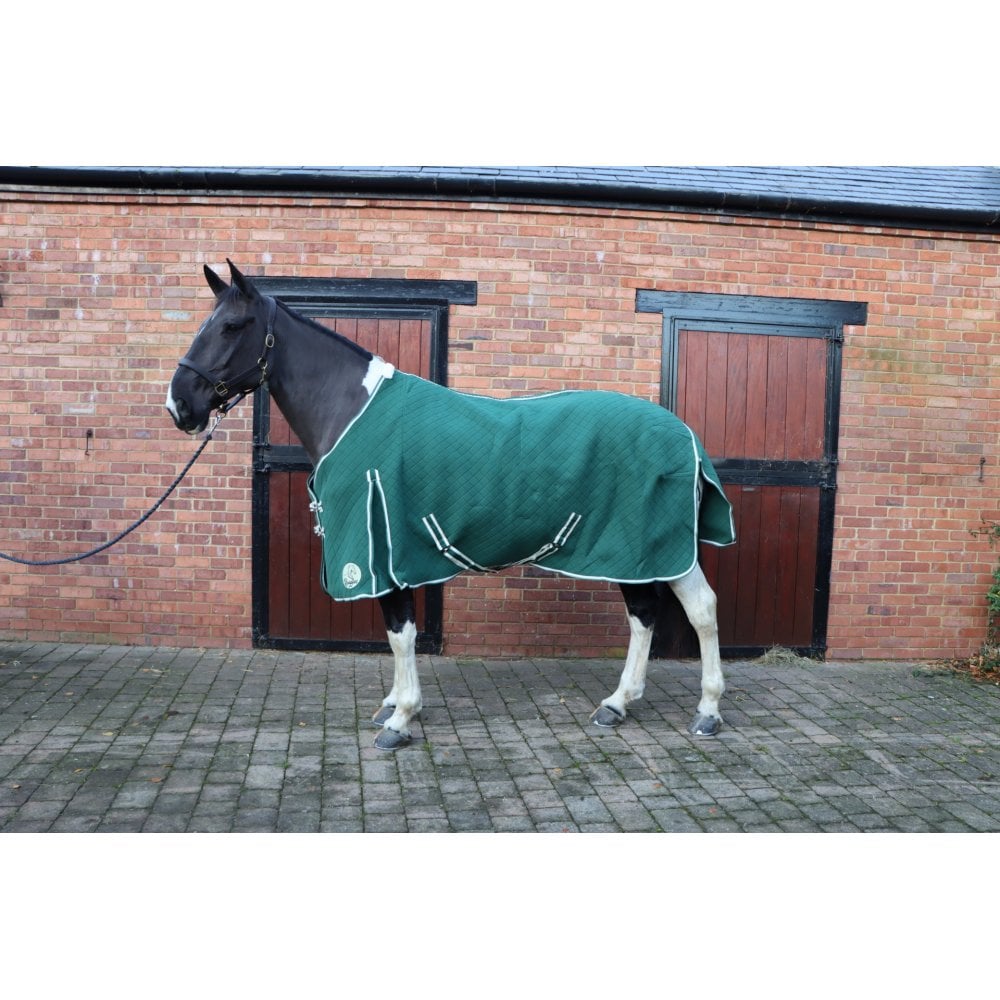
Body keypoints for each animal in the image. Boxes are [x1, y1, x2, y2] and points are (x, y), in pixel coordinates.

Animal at [166, 260, 736, 751]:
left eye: (232, 326)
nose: (179, 405)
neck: (351, 410)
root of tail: (685, 435)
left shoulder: (381, 550)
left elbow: (400, 633)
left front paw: (400, 719)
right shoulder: (390, 555)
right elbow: (397, 634)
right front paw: (394, 704)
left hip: (649, 547)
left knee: (701, 609)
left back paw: (707, 712)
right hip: (631, 553)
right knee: (645, 615)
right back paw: (617, 704)